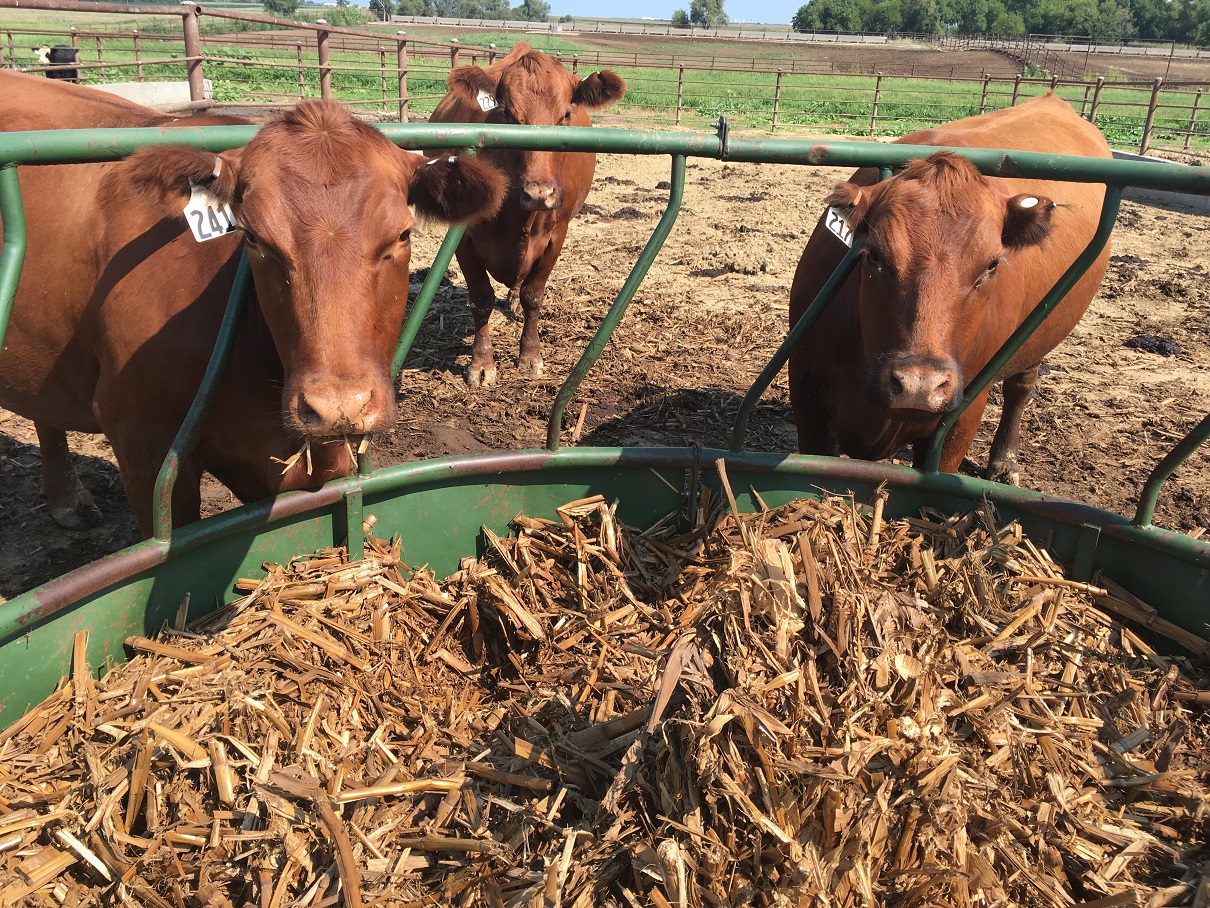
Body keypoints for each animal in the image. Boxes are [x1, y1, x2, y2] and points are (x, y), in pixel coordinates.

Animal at [428, 42, 625, 387]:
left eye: (565, 115)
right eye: (507, 113)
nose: (539, 193)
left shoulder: (556, 235)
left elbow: (533, 295)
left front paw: (530, 354)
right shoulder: (464, 237)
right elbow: (481, 298)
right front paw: (482, 362)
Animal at [787, 92, 1112, 485]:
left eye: (992, 264)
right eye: (874, 254)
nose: (919, 385)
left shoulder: (962, 417)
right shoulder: (807, 395)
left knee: (1020, 388)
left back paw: (1005, 462)